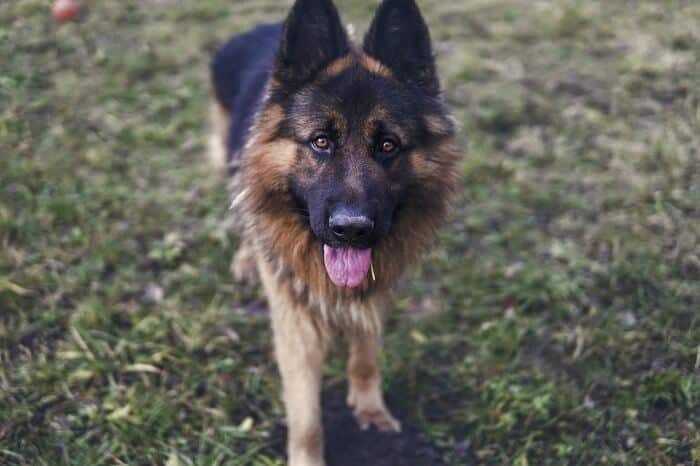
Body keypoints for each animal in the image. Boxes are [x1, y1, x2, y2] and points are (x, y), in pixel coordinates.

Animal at [208, 1, 460, 464]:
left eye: (388, 146)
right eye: (321, 141)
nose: (351, 230)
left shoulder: (377, 293)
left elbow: (366, 354)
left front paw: (370, 410)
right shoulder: (295, 323)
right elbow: (306, 417)